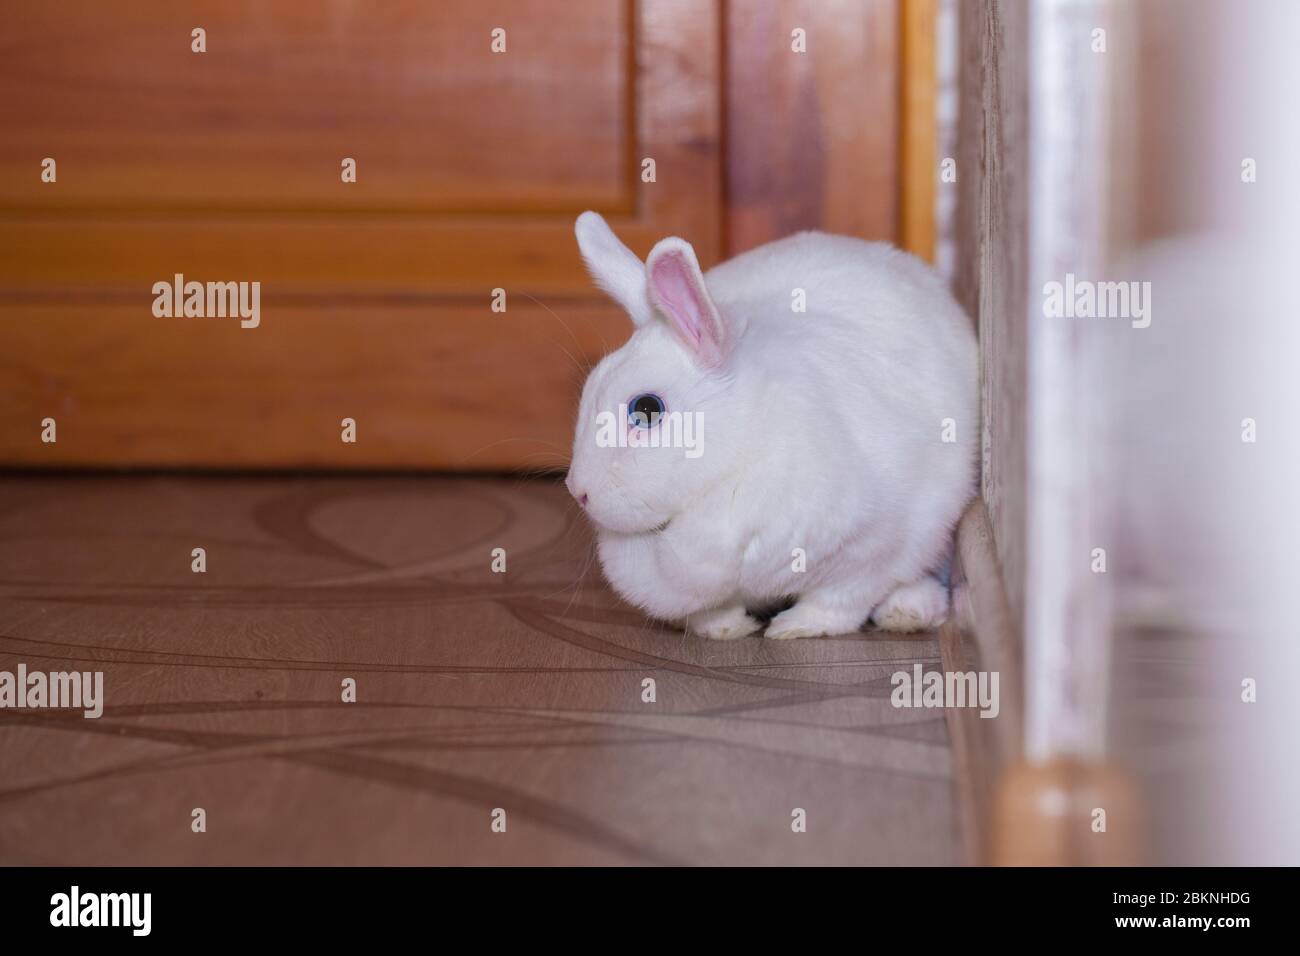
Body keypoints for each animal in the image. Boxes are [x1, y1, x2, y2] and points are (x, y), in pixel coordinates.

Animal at [565, 211, 978, 639]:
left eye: (646, 409)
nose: (578, 491)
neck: (734, 461)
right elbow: (710, 611)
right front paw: (728, 629)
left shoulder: (873, 548)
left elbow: (839, 602)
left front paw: (793, 627)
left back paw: (907, 611)